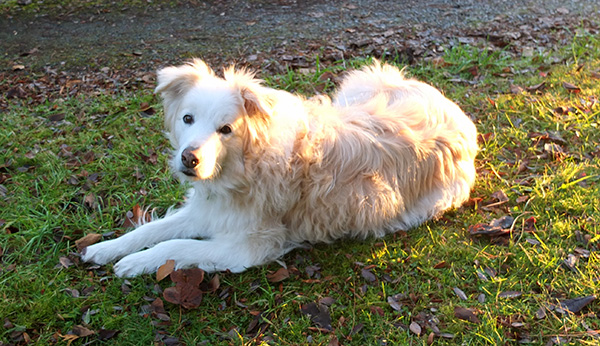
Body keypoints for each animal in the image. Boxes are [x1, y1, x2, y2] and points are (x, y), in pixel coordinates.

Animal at [82, 58, 478, 276]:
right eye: (187, 118)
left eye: (226, 129)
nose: (189, 160)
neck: (244, 166)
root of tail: (455, 111)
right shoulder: (208, 209)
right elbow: (155, 229)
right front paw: (108, 248)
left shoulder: (249, 246)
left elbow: (179, 245)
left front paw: (136, 263)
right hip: (357, 88)